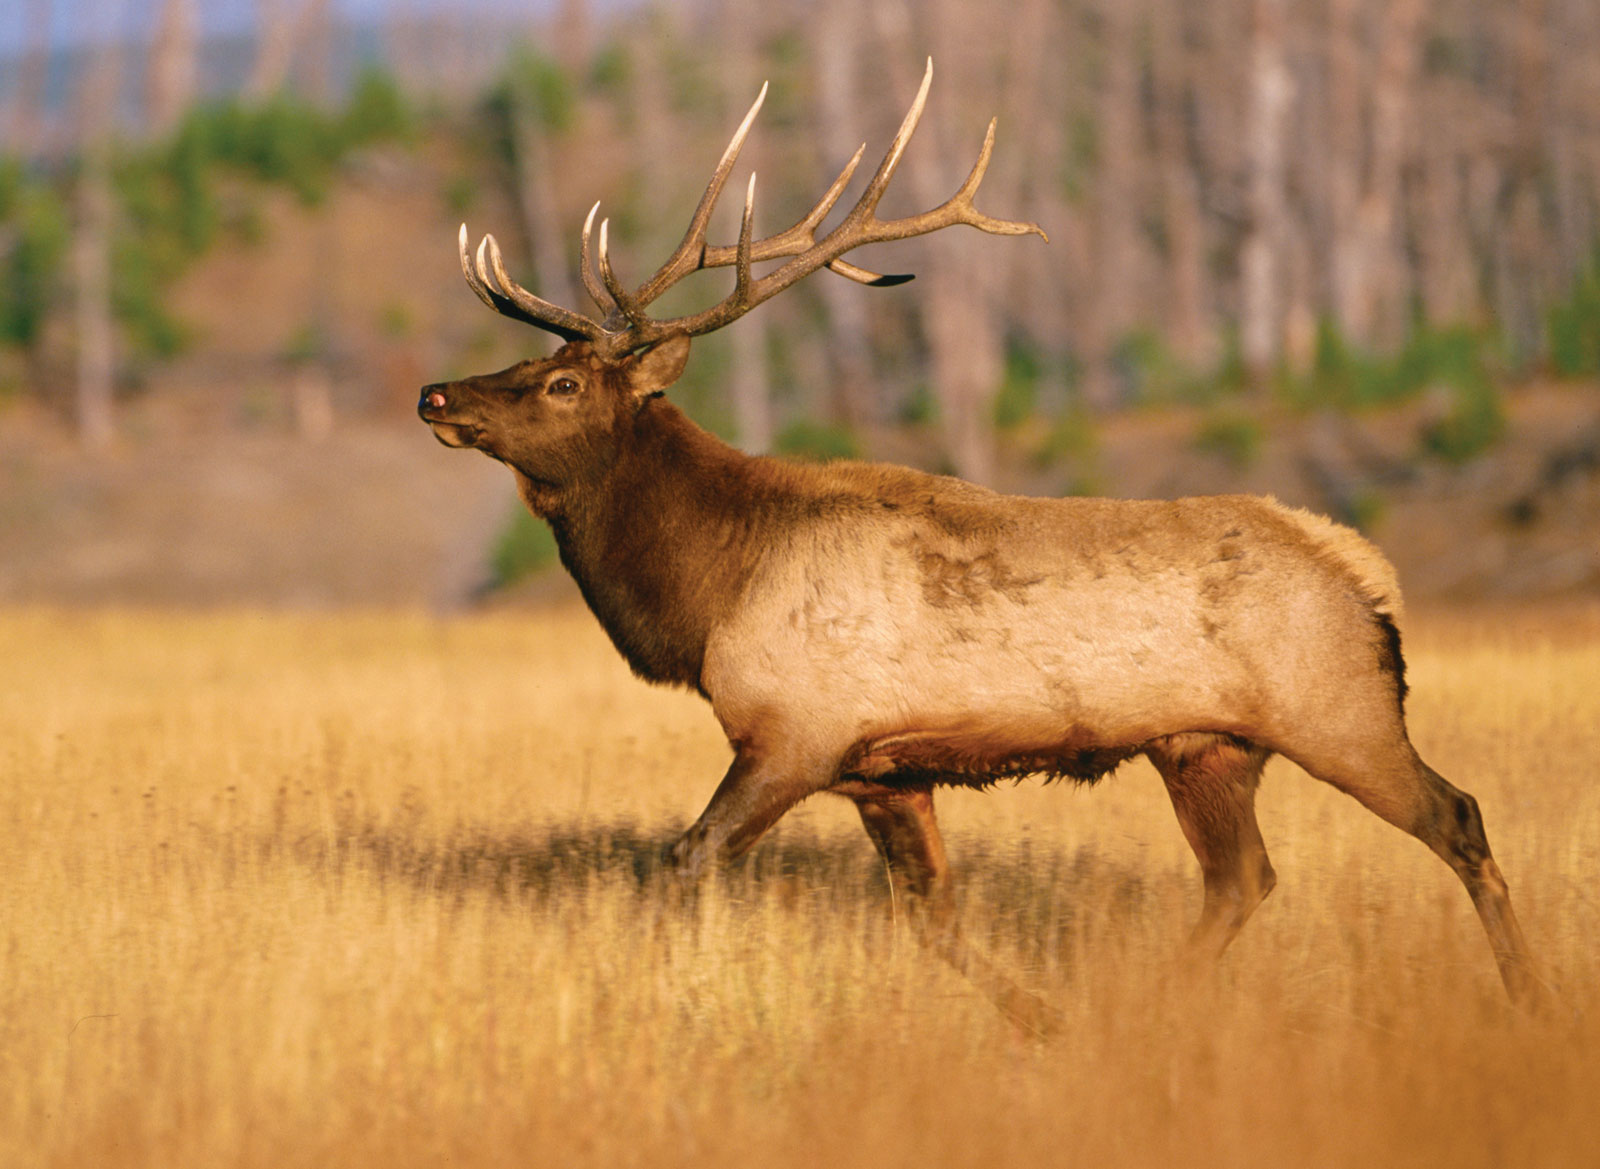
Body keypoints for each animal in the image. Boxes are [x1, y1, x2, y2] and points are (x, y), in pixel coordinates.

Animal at [418, 60, 1543, 1024]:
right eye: (522, 361)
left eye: (562, 381)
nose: (436, 393)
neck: (706, 592)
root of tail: (1368, 575)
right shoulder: (882, 768)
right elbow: (932, 915)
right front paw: (1040, 1019)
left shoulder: (796, 732)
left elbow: (685, 859)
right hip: (1206, 747)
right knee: (1242, 880)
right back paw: (1143, 1013)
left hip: (1338, 708)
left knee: (1458, 816)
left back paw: (1534, 1001)